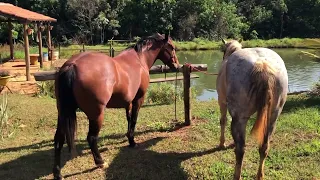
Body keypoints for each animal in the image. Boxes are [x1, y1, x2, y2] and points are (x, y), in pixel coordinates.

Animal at [51, 33, 179, 179]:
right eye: (172, 47)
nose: (177, 65)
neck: (139, 60)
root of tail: (72, 65)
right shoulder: (138, 99)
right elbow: (134, 120)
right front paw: (132, 142)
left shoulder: (128, 102)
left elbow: (128, 119)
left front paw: (129, 138)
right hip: (97, 115)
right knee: (91, 138)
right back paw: (100, 162)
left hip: (63, 113)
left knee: (58, 140)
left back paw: (57, 173)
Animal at [216, 38, 288, 179]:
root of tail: (262, 65)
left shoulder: (221, 101)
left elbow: (223, 121)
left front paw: (222, 143)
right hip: (272, 118)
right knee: (264, 147)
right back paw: (260, 175)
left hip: (239, 118)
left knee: (240, 150)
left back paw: (236, 175)